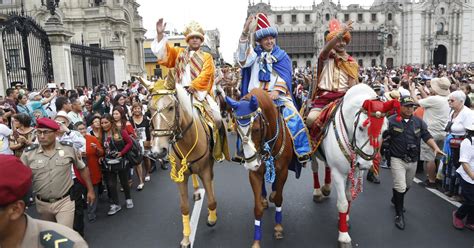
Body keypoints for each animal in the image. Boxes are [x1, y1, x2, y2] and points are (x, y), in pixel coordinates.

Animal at [138, 76, 218, 248]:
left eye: (170, 107)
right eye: (149, 110)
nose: (157, 150)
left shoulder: (205, 170)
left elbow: (211, 200)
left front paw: (212, 218)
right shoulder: (180, 177)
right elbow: (184, 208)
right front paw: (186, 239)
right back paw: (196, 191)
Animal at [226, 89, 292, 248]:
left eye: (256, 129)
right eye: (237, 129)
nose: (251, 163)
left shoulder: (283, 171)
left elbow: (279, 197)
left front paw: (278, 227)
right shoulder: (254, 174)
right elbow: (257, 209)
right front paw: (256, 241)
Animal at [314, 84, 396, 247]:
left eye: (384, 132)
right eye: (361, 128)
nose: (365, 163)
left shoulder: (356, 171)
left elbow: (349, 197)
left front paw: (344, 219)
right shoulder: (339, 173)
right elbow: (343, 203)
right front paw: (344, 236)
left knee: (327, 165)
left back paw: (326, 188)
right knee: (315, 168)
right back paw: (318, 192)